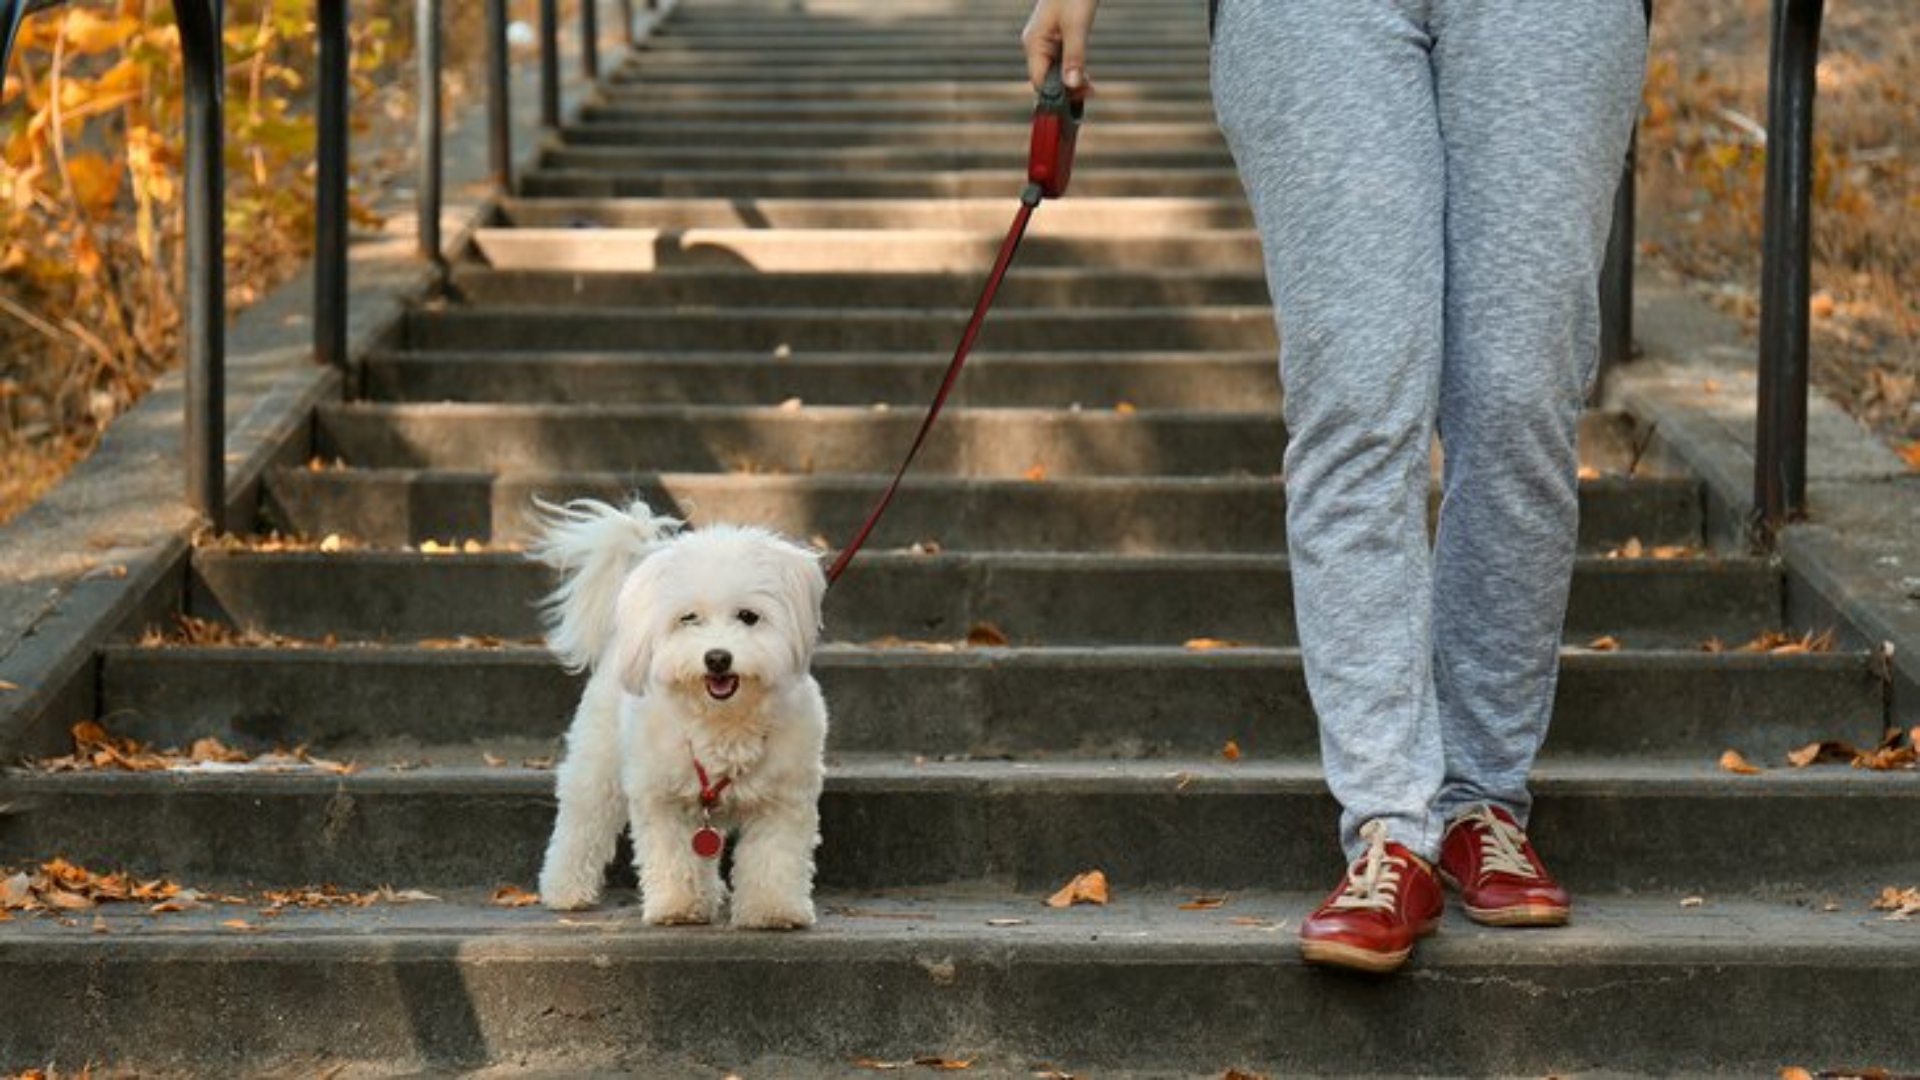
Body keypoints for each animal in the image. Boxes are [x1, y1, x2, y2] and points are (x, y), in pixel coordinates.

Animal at [529, 495, 829, 926]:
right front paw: (678, 905)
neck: (723, 720)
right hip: (598, 758)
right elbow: (672, 856)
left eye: (748, 616)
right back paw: (565, 890)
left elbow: (775, 858)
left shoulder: (785, 799)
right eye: (689, 618)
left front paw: (773, 910)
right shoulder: (661, 797)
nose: (717, 658)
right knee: (582, 819)